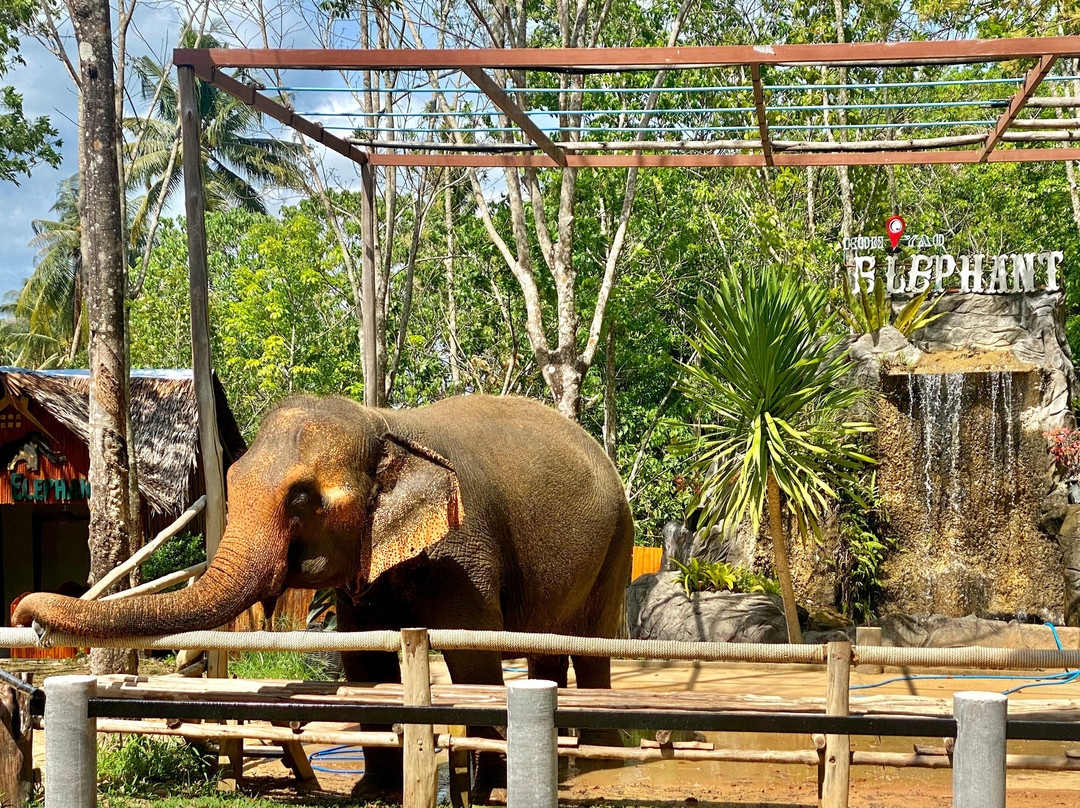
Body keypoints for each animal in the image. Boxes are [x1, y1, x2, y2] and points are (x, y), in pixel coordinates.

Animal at [14, 393, 635, 797]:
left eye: (302, 499)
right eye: (228, 481)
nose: (24, 609)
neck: (385, 422)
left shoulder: (464, 551)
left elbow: (474, 662)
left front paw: (489, 794)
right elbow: (362, 662)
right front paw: (372, 793)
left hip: (618, 541)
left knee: (592, 643)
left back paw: (607, 755)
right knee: (552, 650)